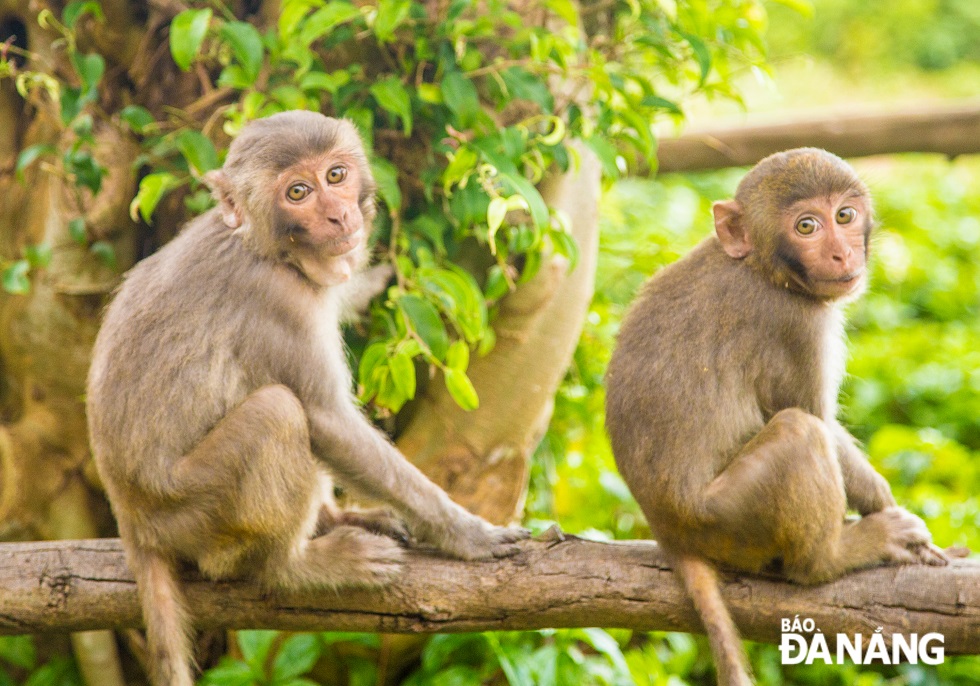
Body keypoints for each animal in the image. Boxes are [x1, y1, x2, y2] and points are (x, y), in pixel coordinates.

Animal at [86, 113, 528, 686]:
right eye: (298, 192)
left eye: (335, 175)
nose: (340, 215)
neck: (269, 248)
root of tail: (133, 524)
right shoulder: (280, 301)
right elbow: (326, 419)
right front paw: (467, 534)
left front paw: (376, 277)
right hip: (194, 517)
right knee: (279, 411)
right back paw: (294, 568)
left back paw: (334, 522)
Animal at [604, 150, 948, 686]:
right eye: (807, 226)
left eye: (844, 216)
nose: (841, 255)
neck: (762, 268)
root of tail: (669, 532)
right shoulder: (797, 324)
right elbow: (816, 418)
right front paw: (885, 506)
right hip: (727, 521)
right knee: (799, 432)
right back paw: (832, 557)